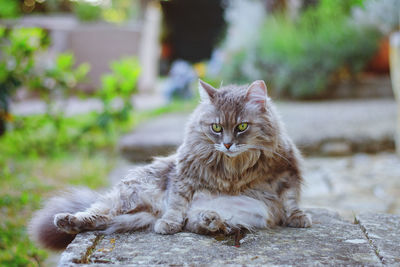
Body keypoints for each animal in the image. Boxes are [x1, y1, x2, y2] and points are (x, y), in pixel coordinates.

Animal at [28, 79, 310, 251]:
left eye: (242, 126)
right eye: (216, 128)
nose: (228, 145)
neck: (235, 167)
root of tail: (152, 210)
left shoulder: (288, 173)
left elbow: (291, 201)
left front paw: (298, 218)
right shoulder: (183, 176)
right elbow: (177, 204)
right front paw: (169, 224)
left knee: (194, 224)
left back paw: (212, 221)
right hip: (130, 195)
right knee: (99, 212)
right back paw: (67, 220)